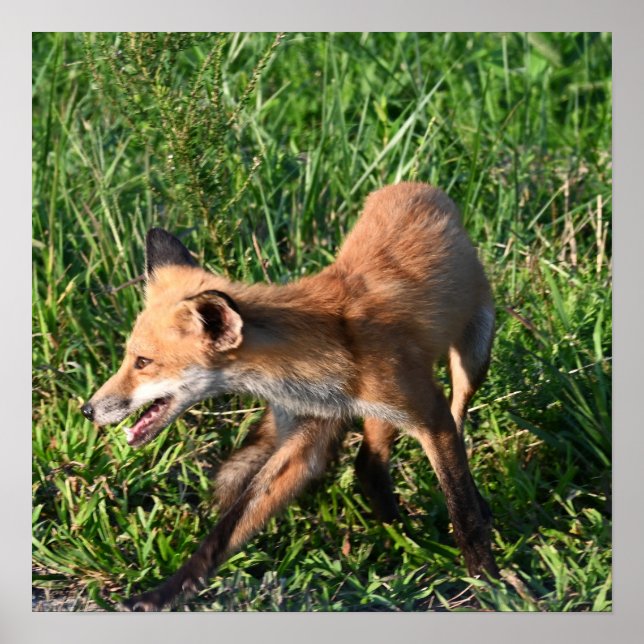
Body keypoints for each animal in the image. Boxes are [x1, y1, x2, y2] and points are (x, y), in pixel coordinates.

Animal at [82, 182, 499, 611]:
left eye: (143, 362)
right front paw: (162, 594)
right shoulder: (306, 434)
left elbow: (463, 511)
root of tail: (414, 186)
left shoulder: (429, 415)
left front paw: (489, 582)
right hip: (383, 415)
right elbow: (227, 530)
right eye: (129, 357)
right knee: (368, 465)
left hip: (473, 358)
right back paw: (402, 535)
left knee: (454, 421)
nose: (88, 410)